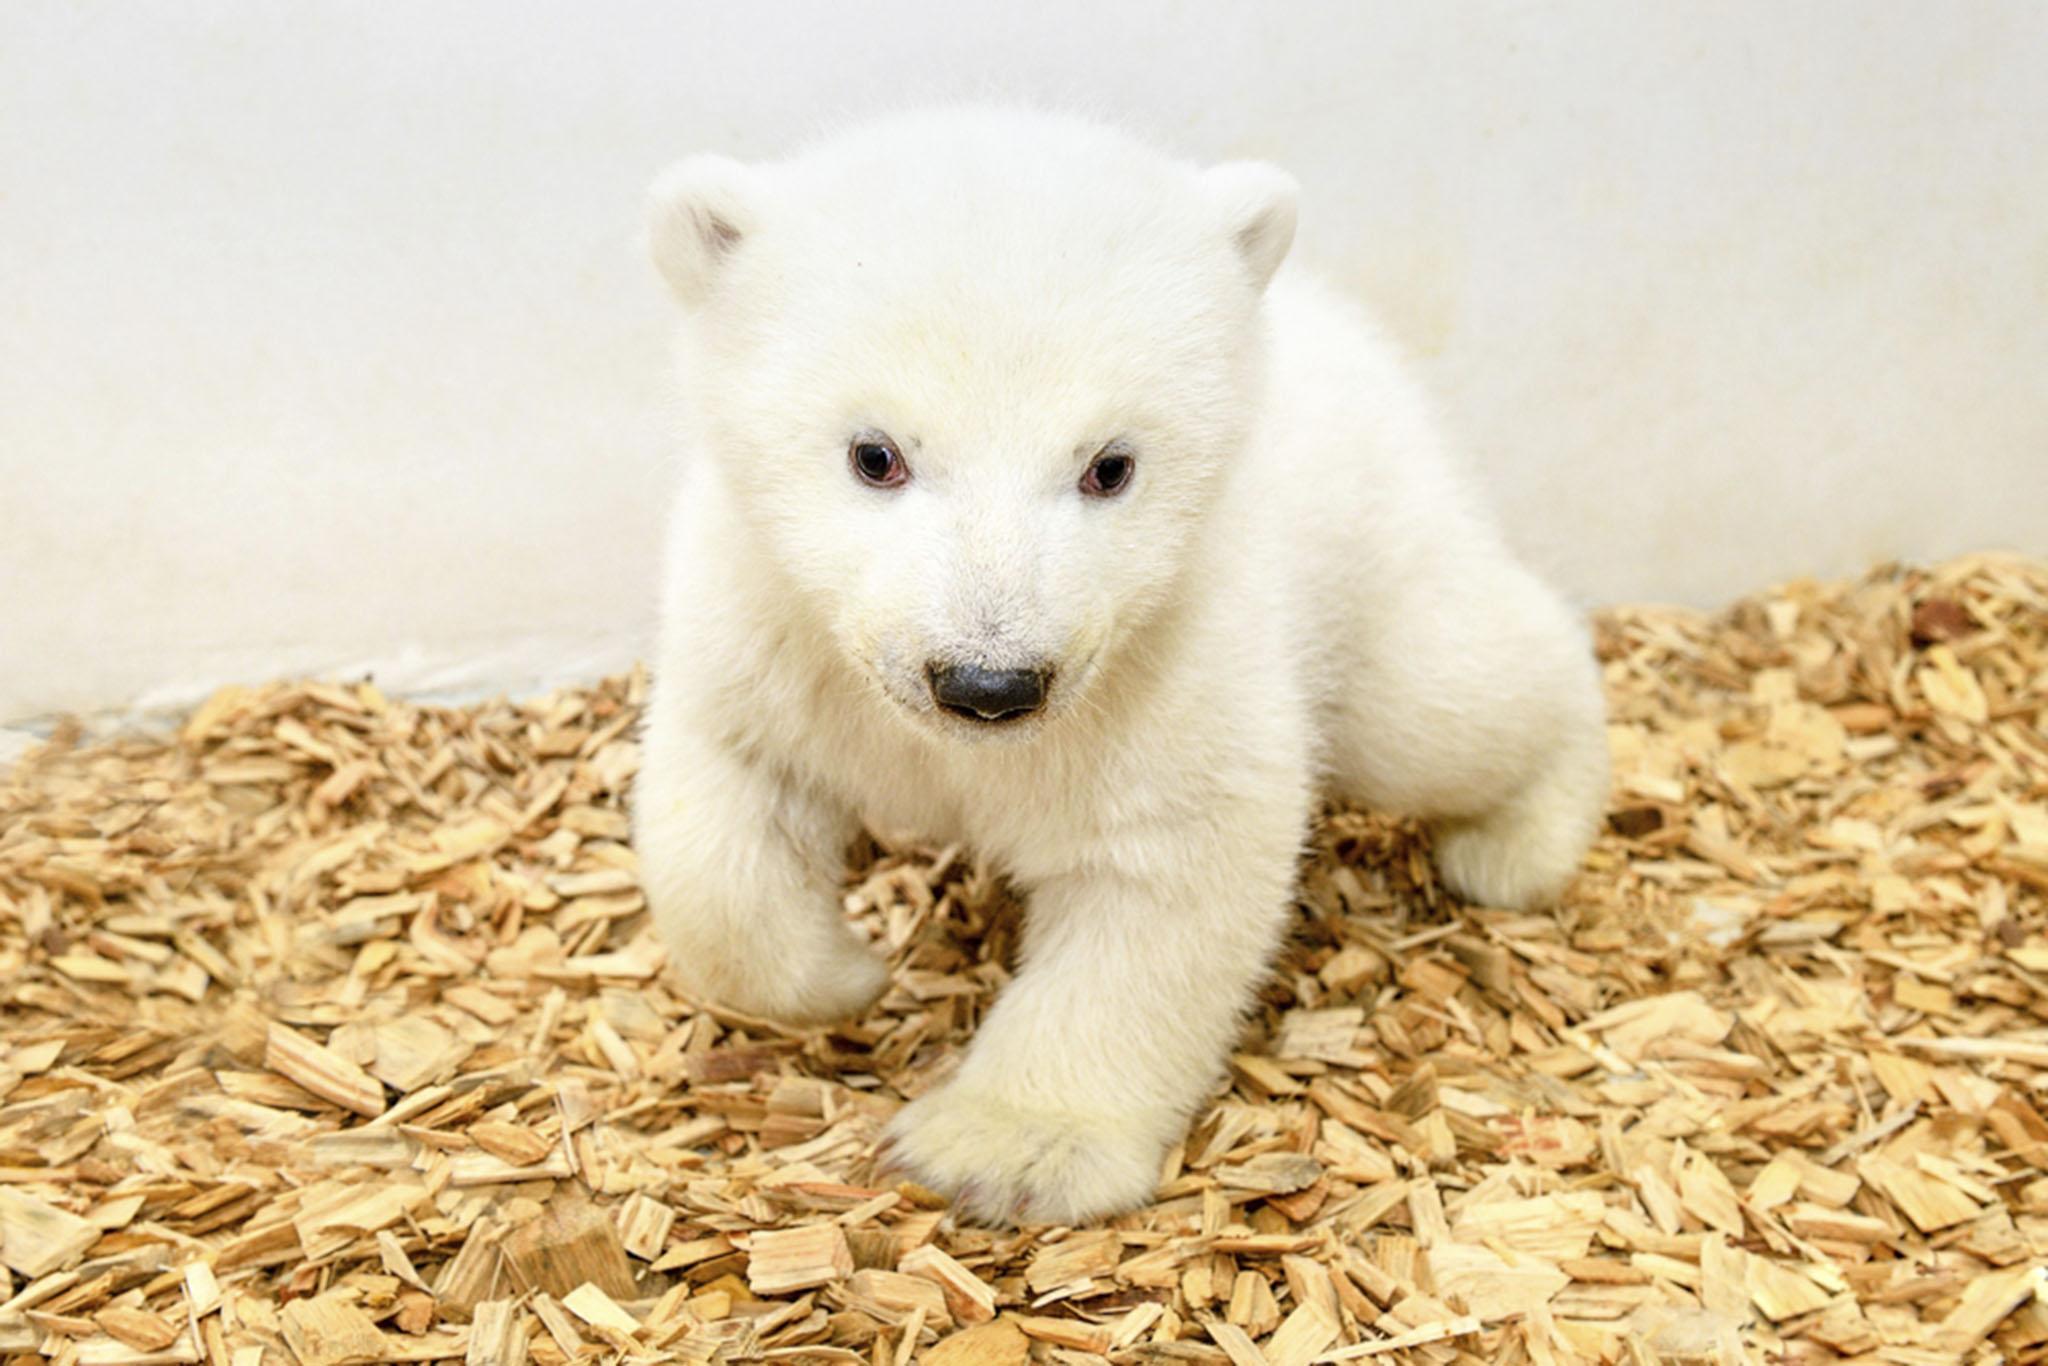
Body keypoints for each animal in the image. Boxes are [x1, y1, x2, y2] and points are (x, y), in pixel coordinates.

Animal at [633, 107, 1609, 1225]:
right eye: (874, 454)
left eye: (1110, 465)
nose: (988, 684)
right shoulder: (770, 626)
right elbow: (725, 810)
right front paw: (845, 972)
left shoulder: (1172, 655)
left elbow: (1161, 876)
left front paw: (1007, 1148)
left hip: (1367, 559)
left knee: (1446, 699)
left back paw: (1522, 839)